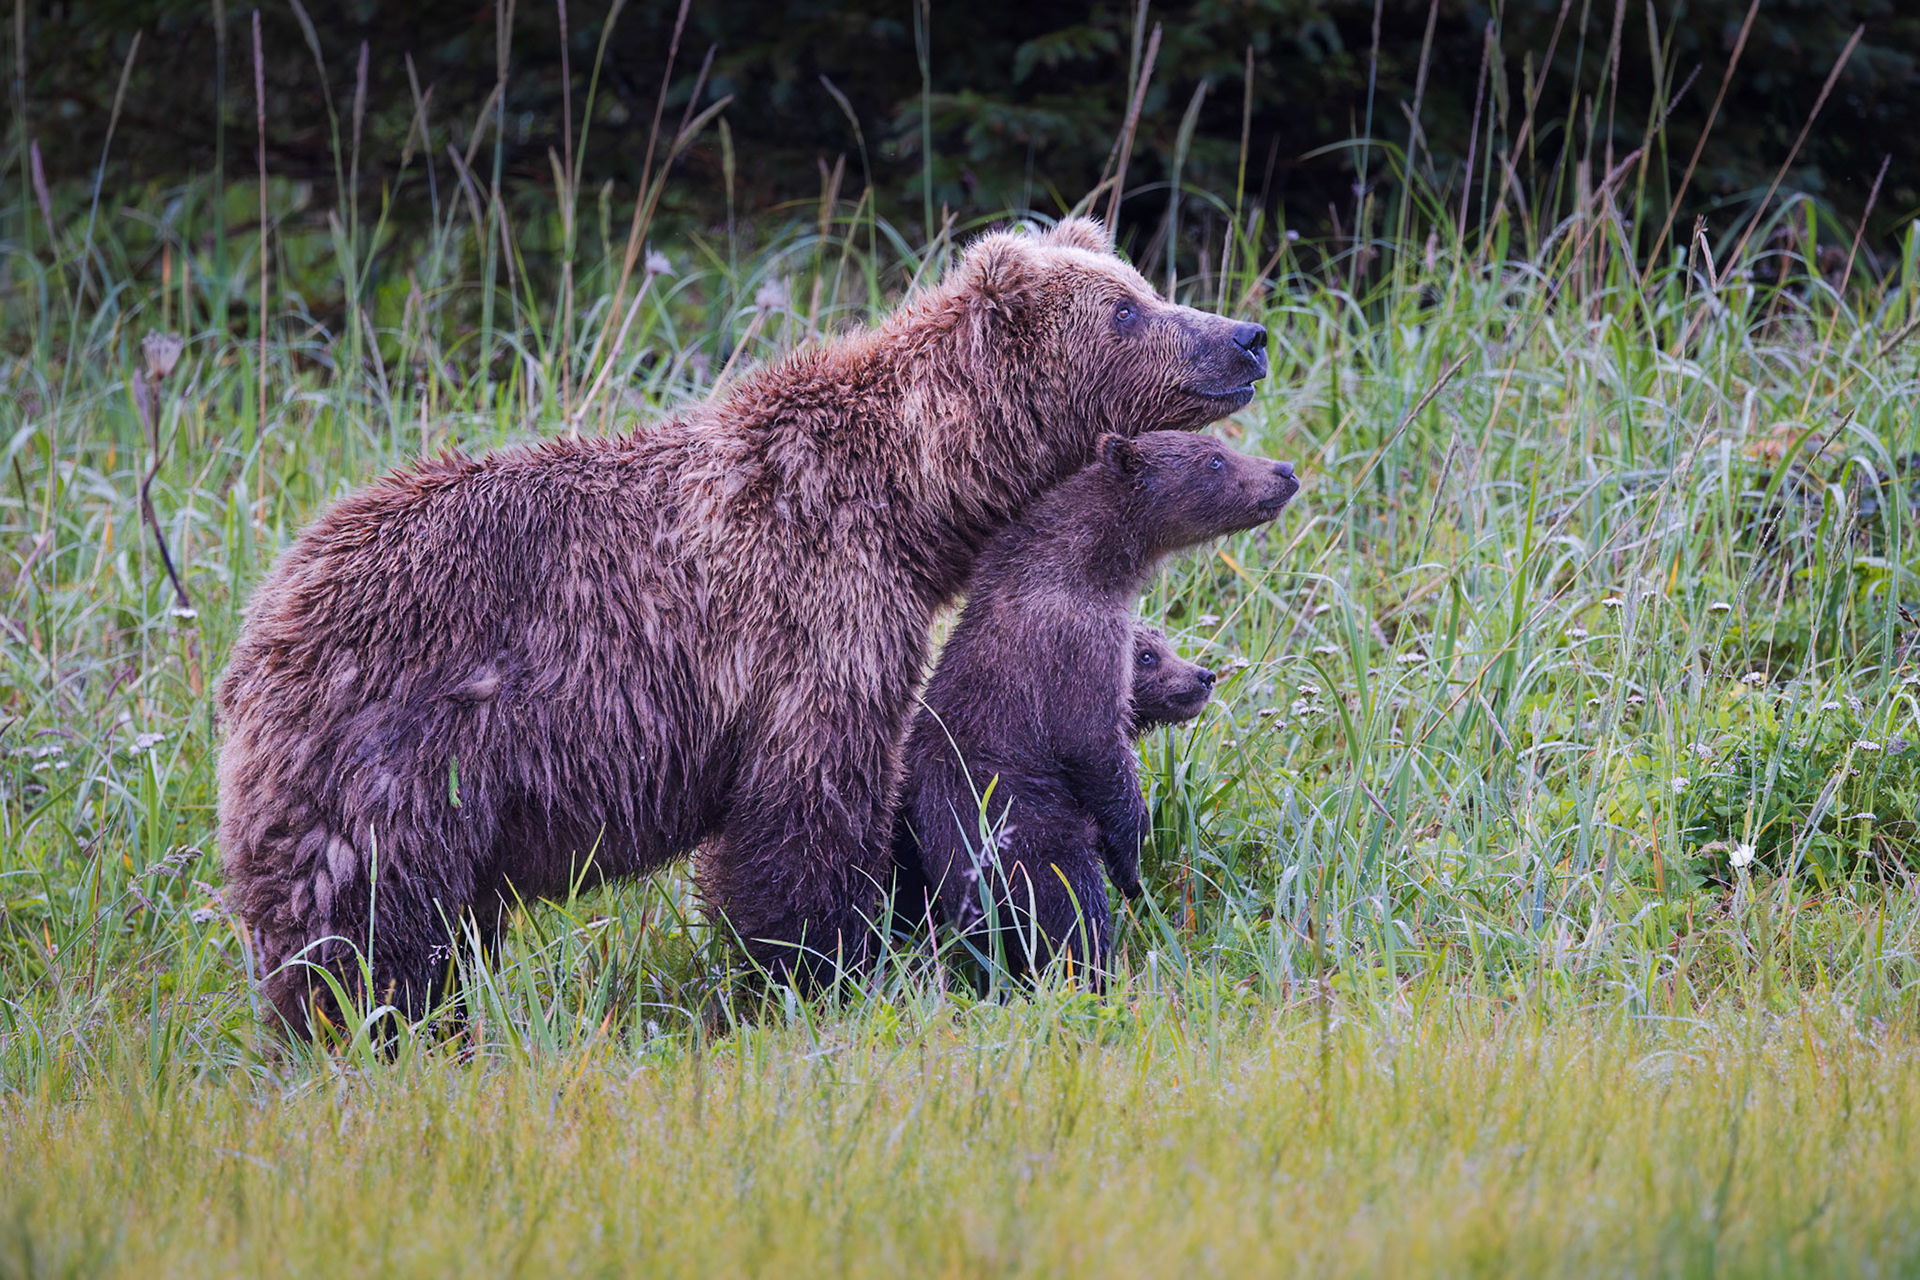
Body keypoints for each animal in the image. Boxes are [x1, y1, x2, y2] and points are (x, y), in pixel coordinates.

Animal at [893, 430, 1298, 983]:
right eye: (1216, 459)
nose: (1285, 471)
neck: (1086, 571)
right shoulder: (1079, 650)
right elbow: (1095, 749)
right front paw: (1131, 858)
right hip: (1014, 839)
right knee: (1067, 910)